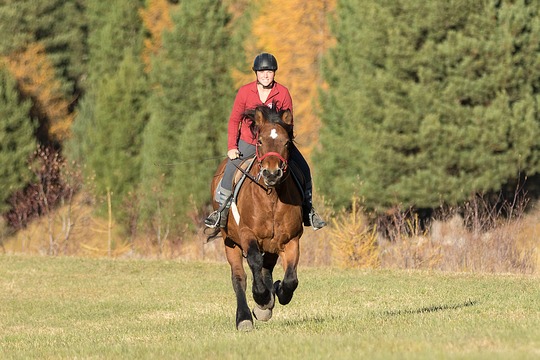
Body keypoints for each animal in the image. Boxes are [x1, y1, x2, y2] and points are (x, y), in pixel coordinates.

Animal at [208, 105, 304, 332]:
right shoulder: (246, 235)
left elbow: (291, 279)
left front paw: (277, 294)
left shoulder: (291, 239)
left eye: (286, 142)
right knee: (239, 277)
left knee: (267, 268)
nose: (272, 173)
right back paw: (244, 318)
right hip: (230, 243)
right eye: (260, 141)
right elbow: (253, 261)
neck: (271, 197)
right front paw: (261, 298)